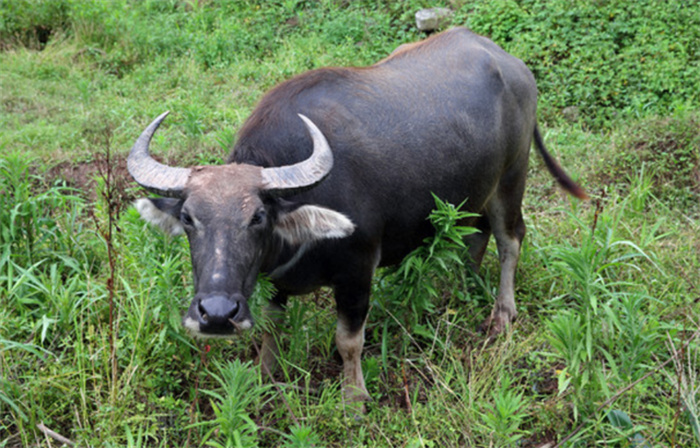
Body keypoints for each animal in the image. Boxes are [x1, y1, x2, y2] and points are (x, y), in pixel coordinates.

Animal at [127, 27, 584, 402]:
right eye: (189, 218)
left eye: (257, 217)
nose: (217, 314)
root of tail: (511, 64)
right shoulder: (273, 281)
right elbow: (273, 329)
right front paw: (264, 375)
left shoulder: (357, 272)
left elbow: (349, 340)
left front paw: (354, 398)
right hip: (472, 192)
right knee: (476, 235)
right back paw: (463, 288)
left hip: (512, 176)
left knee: (510, 239)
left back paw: (501, 314)